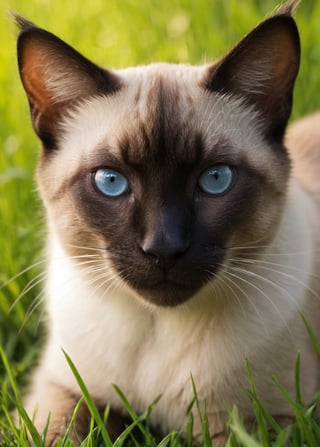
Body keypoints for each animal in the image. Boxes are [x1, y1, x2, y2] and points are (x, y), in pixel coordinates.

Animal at [14, 0, 320, 444]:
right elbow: (54, 433)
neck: (156, 330)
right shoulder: (62, 389)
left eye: (215, 179)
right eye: (111, 182)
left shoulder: (256, 422)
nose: (163, 248)